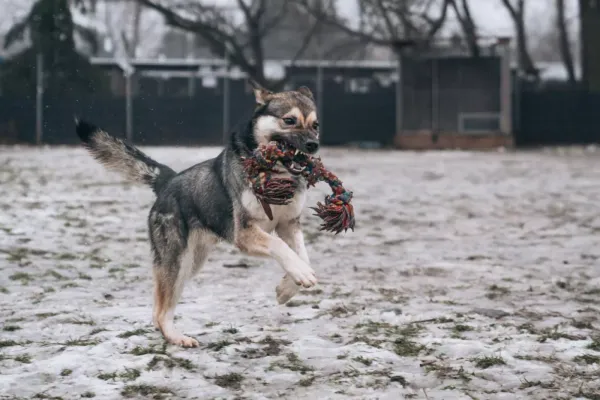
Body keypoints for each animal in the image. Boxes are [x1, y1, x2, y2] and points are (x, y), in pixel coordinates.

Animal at [77, 80, 322, 346]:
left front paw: (289, 286)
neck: (275, 175)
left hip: (191, 263)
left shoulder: (288, 223)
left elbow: (302, 255)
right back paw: (176, 337)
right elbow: (280, 247)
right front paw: (299, 274)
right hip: (178, 260)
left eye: (315, 125)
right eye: (289, 120)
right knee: (162, 310)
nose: (313, 145)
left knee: (158, 304)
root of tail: (167, 182)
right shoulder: (244, 233)